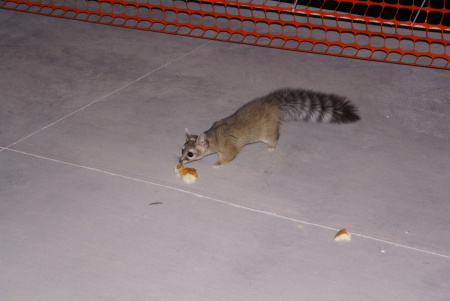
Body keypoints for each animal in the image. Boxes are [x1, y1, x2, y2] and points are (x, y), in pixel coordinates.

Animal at [179, 86, 358, 168]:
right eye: (182, 150)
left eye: (190, 154)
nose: (179, 161)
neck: (212, 136)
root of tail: (271, 102)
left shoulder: (228, 146)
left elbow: (230, 154)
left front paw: (219, 162)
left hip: (267, 129)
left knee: (273, 136)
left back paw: (273, 144)